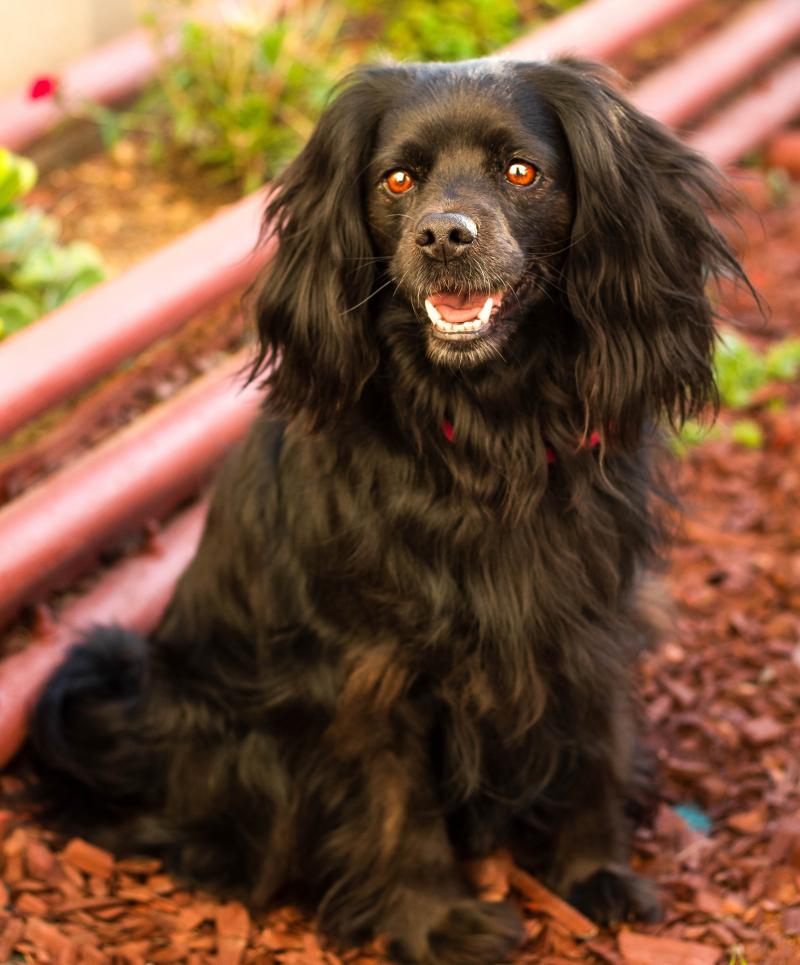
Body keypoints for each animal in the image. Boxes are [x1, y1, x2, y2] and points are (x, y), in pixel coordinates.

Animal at [26, 56, 752, 960]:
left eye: (522, 171)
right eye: (398, 180)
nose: (443, 236)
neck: (486, 434)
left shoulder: (590, 623)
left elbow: (595, 747)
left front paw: (592, 874)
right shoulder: (368, 665)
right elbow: (394, 799)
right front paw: (432, 920)